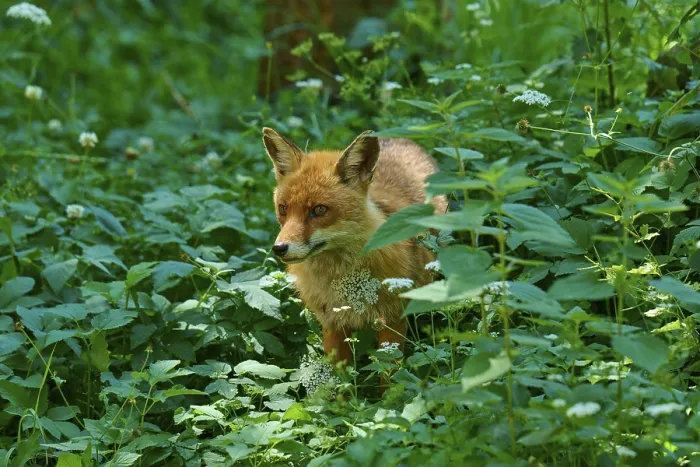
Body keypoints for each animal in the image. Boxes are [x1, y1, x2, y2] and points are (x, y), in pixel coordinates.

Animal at [262, 127, 447, 374]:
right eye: (283, 208)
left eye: (319, 210)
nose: (279, 248)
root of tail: (397, 138)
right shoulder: (332, 322)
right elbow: (340, 378)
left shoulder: (393, 319)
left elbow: (389, 375)